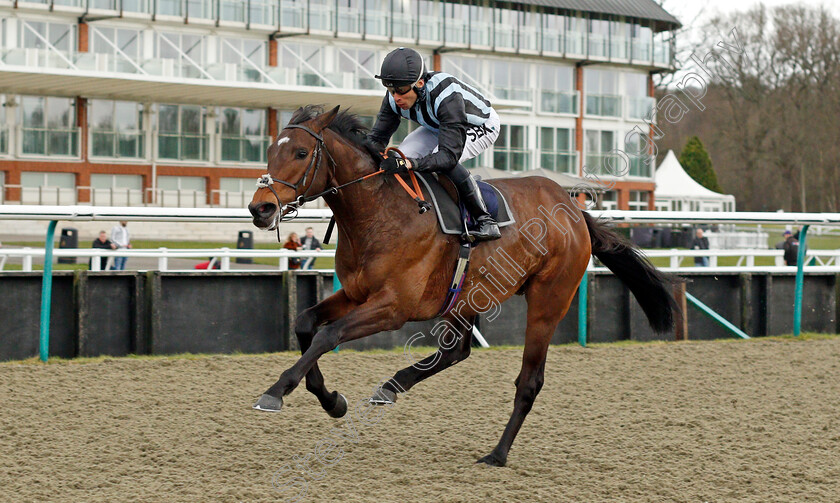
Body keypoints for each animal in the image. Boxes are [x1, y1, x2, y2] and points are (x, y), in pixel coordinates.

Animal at [248, 106, 676, 468]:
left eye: (301, 152)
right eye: (269, 151)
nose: (260, 209)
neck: (379, 213)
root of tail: (573, 211)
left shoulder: (393, 307)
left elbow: (328, 335)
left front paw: (276, 390)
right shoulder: (356, 294)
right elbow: (306, 323)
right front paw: (331, 400)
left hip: (548, 301)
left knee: (529, 381)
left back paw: (497, 454)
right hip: (467, 297)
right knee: (456, 352)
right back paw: (392, 386)